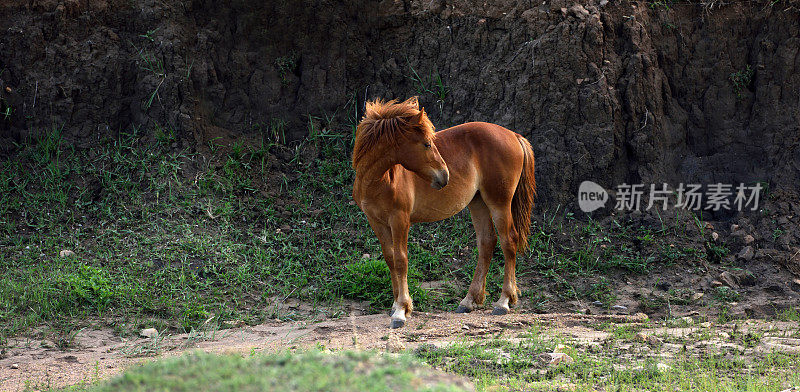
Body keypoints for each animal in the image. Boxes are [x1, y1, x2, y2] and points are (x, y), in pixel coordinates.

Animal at [352, 97, 536, 328]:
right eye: (427, 144)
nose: (444, 176)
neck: (380, 179)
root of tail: (513, 135)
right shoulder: (376, 221)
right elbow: (390, 259)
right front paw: (396, 305)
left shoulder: (399, 220)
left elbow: (401, 260)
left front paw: (401, 310)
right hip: (478, 203)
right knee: (486, 243)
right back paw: (469, 301)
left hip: (499, 203)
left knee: (508, 241)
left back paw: (504, 301)